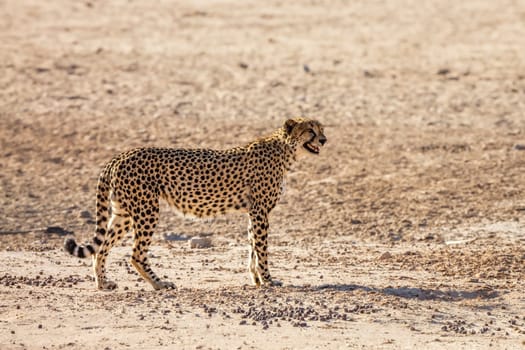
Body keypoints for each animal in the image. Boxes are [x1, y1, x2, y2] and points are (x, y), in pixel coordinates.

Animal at [65, 117, 326, 290]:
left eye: (321, 129)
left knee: (101, 247)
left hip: (124, 213)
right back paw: (160, 283)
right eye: (310, 130)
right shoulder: (260, 211)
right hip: (147, 210)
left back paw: (103, 283)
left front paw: (256, 279)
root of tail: (121, 155)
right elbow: (261, 249)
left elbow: (253, 246)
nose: (324, 140)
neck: (285, 151)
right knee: (136, 254)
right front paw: (268, 280)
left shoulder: (253, 212)